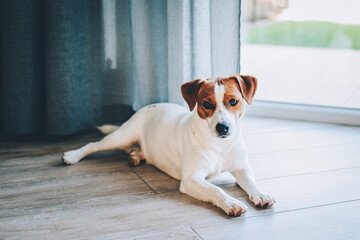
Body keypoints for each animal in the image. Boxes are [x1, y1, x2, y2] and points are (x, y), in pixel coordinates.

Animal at [62, 74, 276, 216]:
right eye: (207, 104)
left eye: (233, 101)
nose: (223, 127)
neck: (219, 145)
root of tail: (150, 106)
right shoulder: (191, 179)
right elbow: (215, 189)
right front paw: (230, 202)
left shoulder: (241, 168)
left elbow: (251, 181)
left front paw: (261, 194)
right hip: (122, 136)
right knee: (93, 144)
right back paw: (72, 156)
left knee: (134, 150)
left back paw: (136, 156)